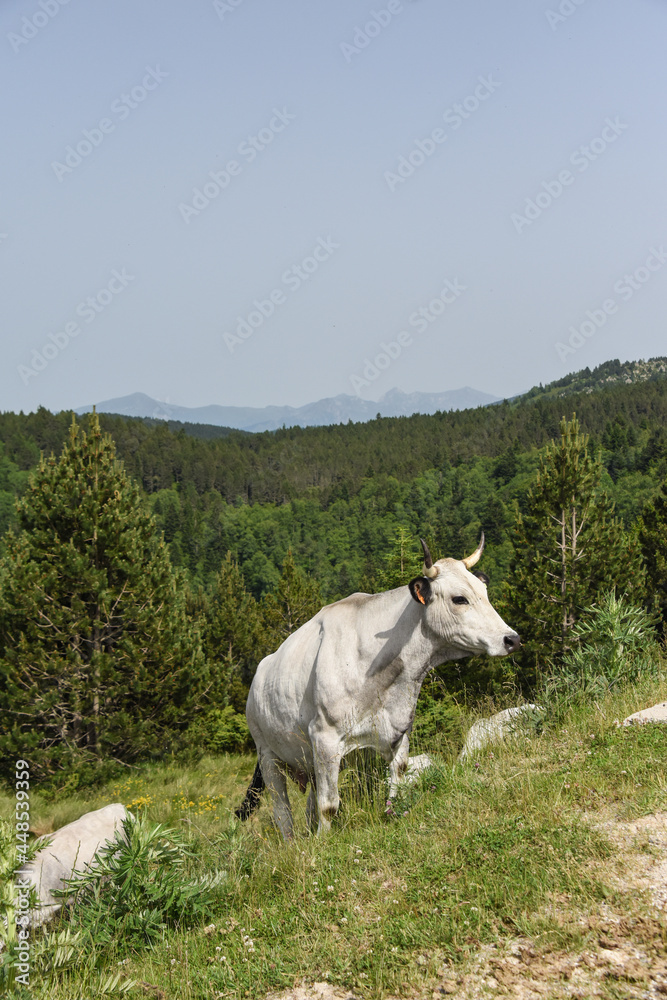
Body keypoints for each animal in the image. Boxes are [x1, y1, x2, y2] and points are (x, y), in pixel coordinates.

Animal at [236, 535, 520, 838]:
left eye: (485, 592)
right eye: (459, 599)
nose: (512, 639)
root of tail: (259, 675)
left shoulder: (398, 732)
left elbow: (396, 785)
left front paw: (393, 816)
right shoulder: (324, 737)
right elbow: (329, 805)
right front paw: (323, 843)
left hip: (306, 759)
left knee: (310, 804)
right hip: (267, 753)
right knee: (283, 811)